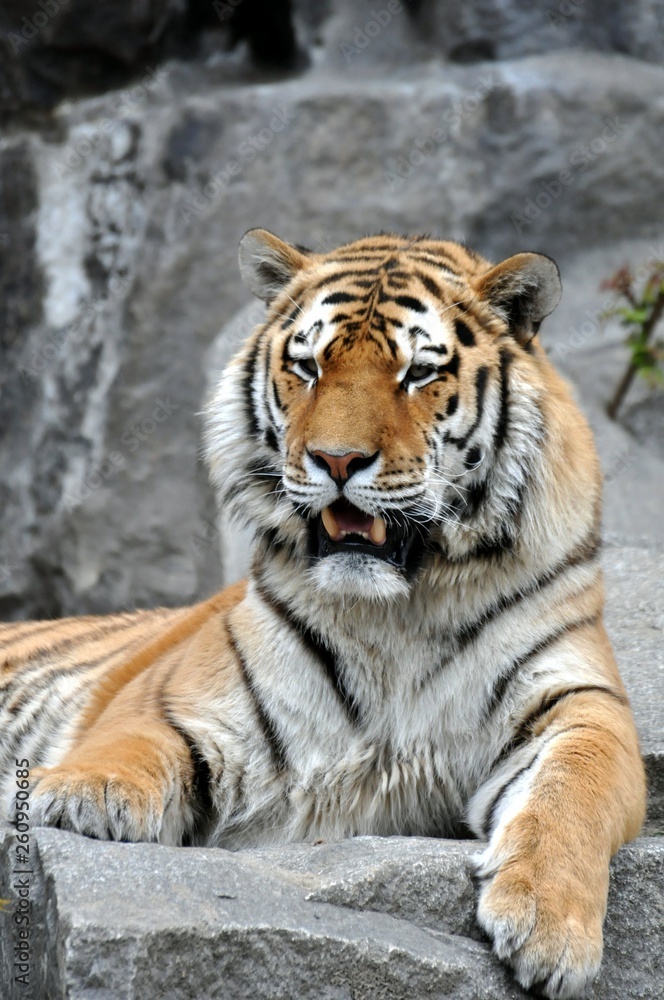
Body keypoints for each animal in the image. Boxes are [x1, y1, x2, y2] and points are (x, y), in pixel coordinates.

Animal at [0, 229, 646, 999]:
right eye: (307, 367)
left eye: (417, 373)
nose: (336, 460)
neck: (397, 611)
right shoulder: (177, 697)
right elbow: (129, 740)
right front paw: (81, 795)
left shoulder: (582, 701)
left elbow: (576, 789)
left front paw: (549, 926)